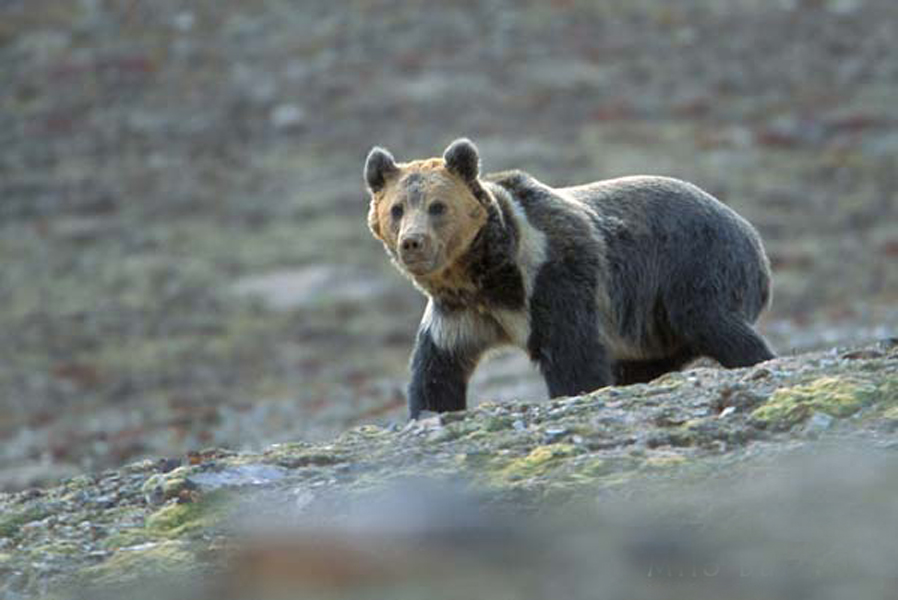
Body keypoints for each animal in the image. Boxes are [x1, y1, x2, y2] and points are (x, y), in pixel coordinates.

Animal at [364, 137, 768, 418]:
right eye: (397, 209)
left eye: (438, 206)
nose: (413, 242)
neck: (491, 276)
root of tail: (753, 237)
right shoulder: (458, 314)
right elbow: (436, 370)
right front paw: (428, 410)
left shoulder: (554, 276)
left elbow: (573, 356)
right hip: (649, 329)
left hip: (693, 268)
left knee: (710, 320)